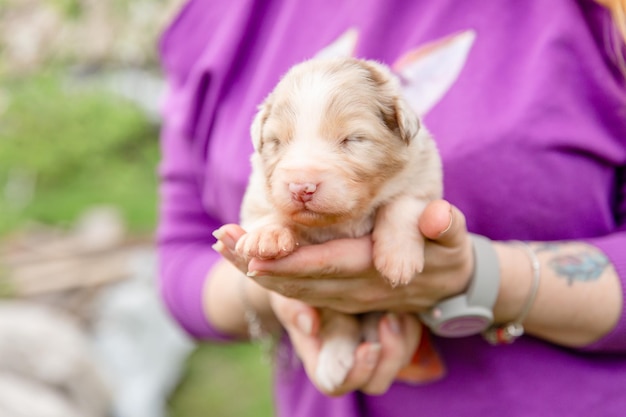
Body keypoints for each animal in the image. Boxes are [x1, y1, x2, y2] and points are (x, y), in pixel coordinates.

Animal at [236, 56, 442, 390]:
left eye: (353, 140)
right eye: (277, 142)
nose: (301, 187)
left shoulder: (422, 172)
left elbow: (401, 204)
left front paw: (398, 259)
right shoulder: (259, 188)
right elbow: (267, 208)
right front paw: (266, 236)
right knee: (338, 319)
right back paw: (334, 362)